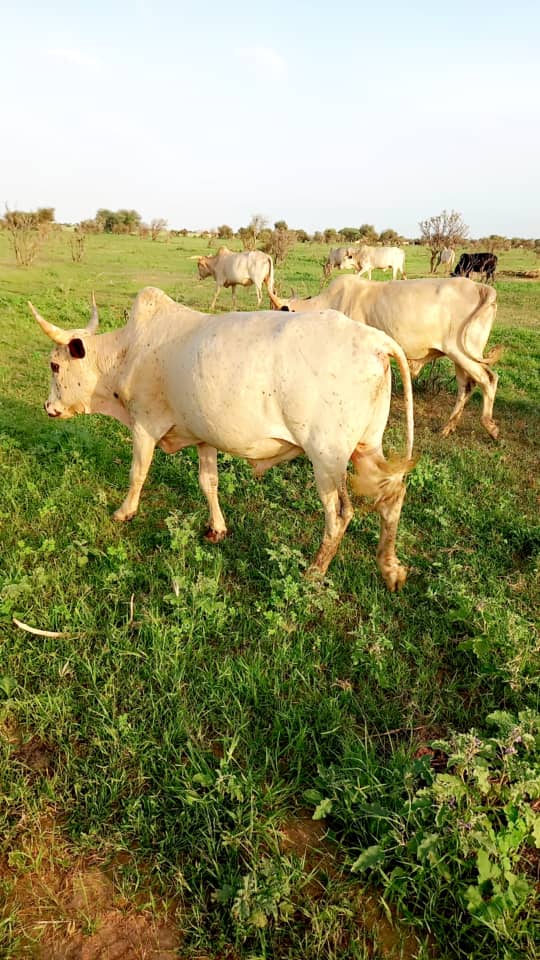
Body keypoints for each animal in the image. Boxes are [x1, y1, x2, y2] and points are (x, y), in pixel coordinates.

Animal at [29, 288, 415, 590]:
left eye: (54, 365)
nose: (49, 407)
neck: (128, 352)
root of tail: (376, 341)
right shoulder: (204, 436)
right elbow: (208, 482)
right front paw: (217, 528)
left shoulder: (144, 425)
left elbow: (137, 473)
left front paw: (124, 512)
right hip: (367, 447)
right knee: (392, 497)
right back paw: (390, 568)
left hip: (327, 457)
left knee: (340, 513)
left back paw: (315, 571)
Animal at [268, 275, 501, 439]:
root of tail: (481, 288)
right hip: (459, 356)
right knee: (466, 386)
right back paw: (448, 427)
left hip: (461, 353)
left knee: (488, 379)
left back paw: (490, 427)